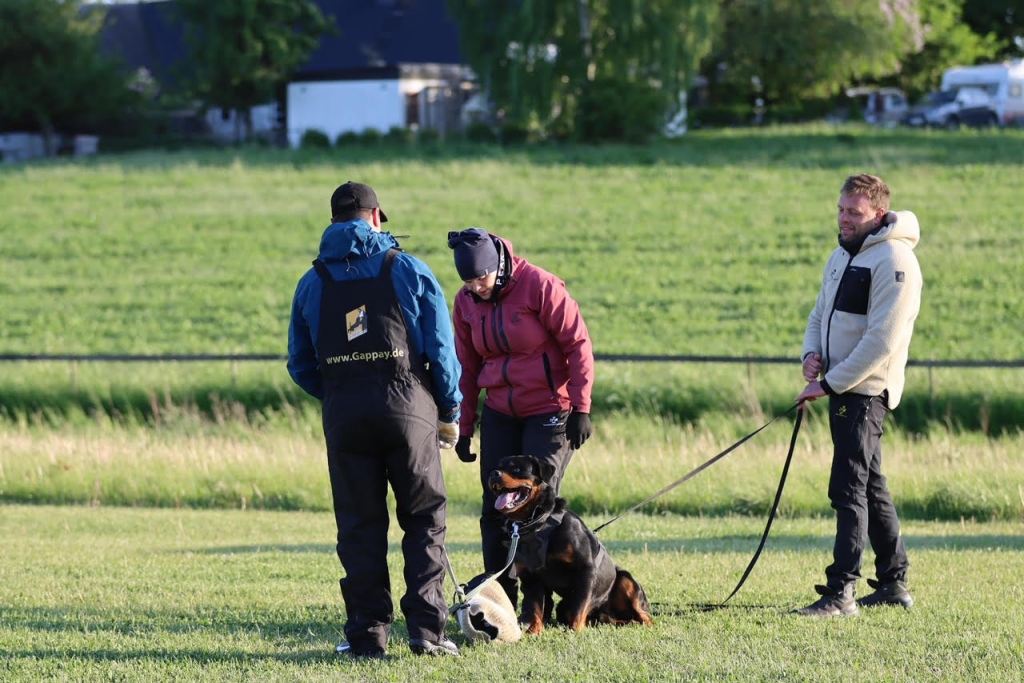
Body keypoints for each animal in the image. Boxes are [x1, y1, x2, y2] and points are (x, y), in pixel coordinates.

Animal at [487, 454, 653, 634]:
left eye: (516, 468)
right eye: (497, 467)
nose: (494, 474)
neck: (539, 523)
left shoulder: (586, 569)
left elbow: (579, 606)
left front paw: (575, 631)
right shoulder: (532, 577)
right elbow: (535, 607)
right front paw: (534, 631)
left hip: (626, 579)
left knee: (643, 614)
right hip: (565, 607)